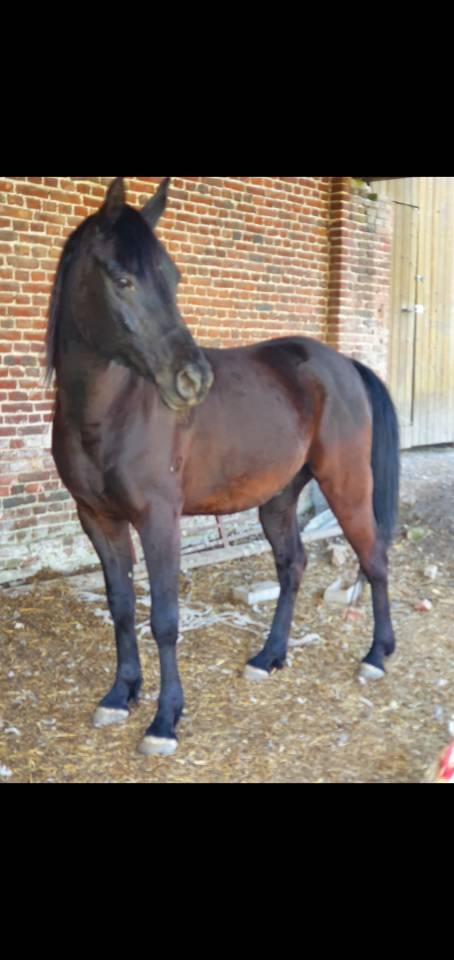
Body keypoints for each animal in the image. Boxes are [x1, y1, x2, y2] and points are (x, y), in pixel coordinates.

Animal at [47, 176, 400, 756]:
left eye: (173, 277)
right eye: (122, 279)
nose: (192, 380)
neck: (110, 411)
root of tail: (343, 364)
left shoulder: (159, 521)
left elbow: (164, 619)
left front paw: (165, 720)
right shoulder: (97, 519)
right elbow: (121, 607)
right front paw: (121, 695)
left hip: (346, 486)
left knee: (374, 559)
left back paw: (376, 654)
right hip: (279, 498)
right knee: (292, 565)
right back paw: (269, 656)